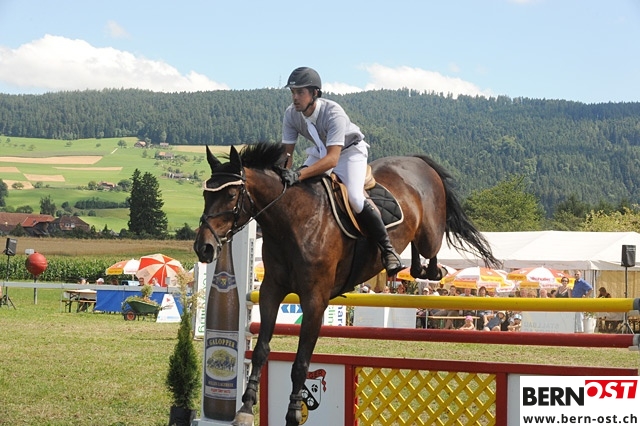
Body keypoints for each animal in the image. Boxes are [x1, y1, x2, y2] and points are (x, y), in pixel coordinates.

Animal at [194, 142, 497, 426]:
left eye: (231, 195)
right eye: (205, 194)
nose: (203, 248)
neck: (292, 221)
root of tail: (418, 162)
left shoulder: (315, 300)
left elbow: (301, 362)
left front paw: (293, 413)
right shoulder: (270, 292)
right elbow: (259, 351)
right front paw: (245, 408)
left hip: (430, 232)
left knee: (431, 247)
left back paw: (428, 269)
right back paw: (409, 266)